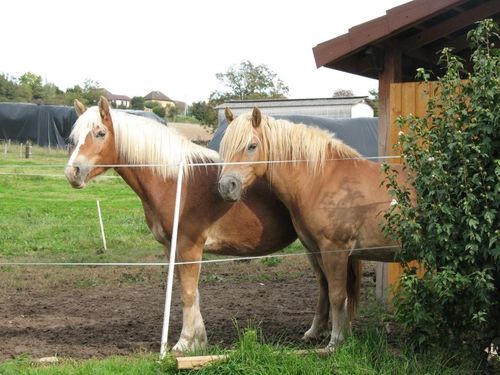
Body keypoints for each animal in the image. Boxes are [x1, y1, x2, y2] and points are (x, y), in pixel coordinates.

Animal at [219, 107, 414, 352]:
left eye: (251, 146)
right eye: (224, 146)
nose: (226, 187)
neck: (321, 179)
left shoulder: (335, 251)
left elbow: (337, 294)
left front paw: (335, 341)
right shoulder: (315, 250)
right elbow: (325, 289)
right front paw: (317, 332)